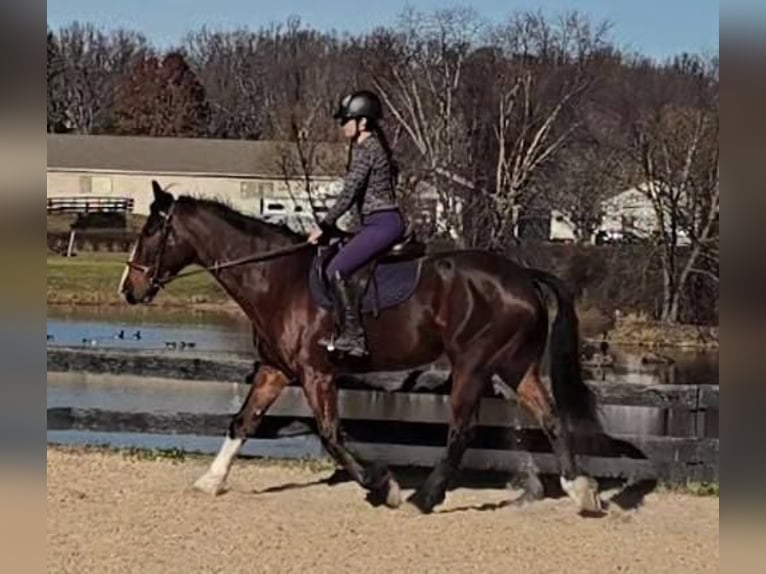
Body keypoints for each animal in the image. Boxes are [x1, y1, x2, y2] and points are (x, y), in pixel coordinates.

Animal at [118, 181, 603, 514]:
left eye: (151, 233)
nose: (128, 289)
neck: (276, 279)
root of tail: (523, 276)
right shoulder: (276, 370)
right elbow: (243, 421)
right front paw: (211, 480)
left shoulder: (316, 375)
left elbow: (332, 436)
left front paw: (381, 486)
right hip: (515, 367)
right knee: (552, 419)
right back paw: (582, 492)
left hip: (473, 366)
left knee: (462, 432)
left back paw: (424, 498)